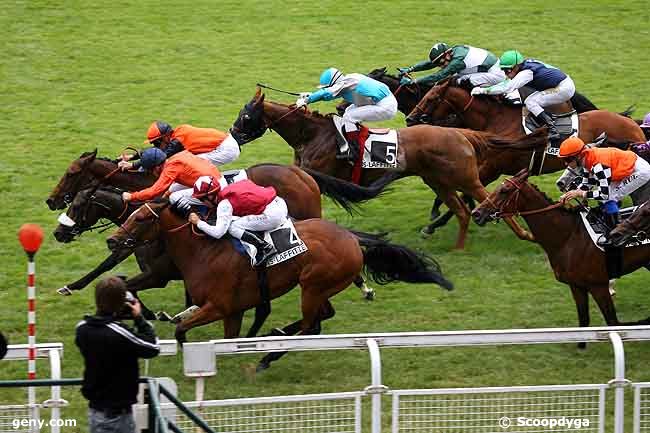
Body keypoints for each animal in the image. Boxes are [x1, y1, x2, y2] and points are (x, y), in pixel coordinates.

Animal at [106, 201, 450, 370]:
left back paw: (269, 356)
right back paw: (277, 332)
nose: (112, 240)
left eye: (140, 219)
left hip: (312, 285)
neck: (204, 251)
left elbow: (181, 330)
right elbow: (226, 337)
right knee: (323, 316)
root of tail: (353, 240)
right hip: (319, 286)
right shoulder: (232, 310)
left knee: (313, 326)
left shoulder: (219, 306)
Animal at [470, 168, 648, 334]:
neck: (568, 236)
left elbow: (612, 321)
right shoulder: (576, 285)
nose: (476, 213)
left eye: (504, 190)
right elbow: (584, 320)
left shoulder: (599, 286)